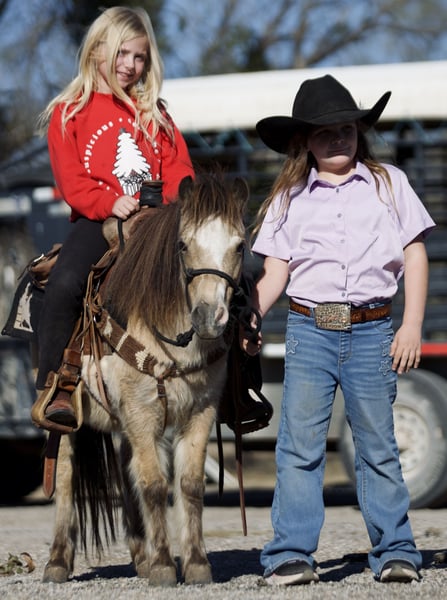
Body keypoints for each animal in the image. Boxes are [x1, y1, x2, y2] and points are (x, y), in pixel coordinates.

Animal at [42, 172, 249, 586]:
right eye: (183, 244)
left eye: (239, 245)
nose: (210, 317)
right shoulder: (141, 413)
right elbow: (154, 486)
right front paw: (165, 566)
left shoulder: (199, 412)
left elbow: (188, 484)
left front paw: (196, 564)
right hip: (68, 418)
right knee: (67, 474)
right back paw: (57, 560)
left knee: (126, 474)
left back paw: (140, 556)